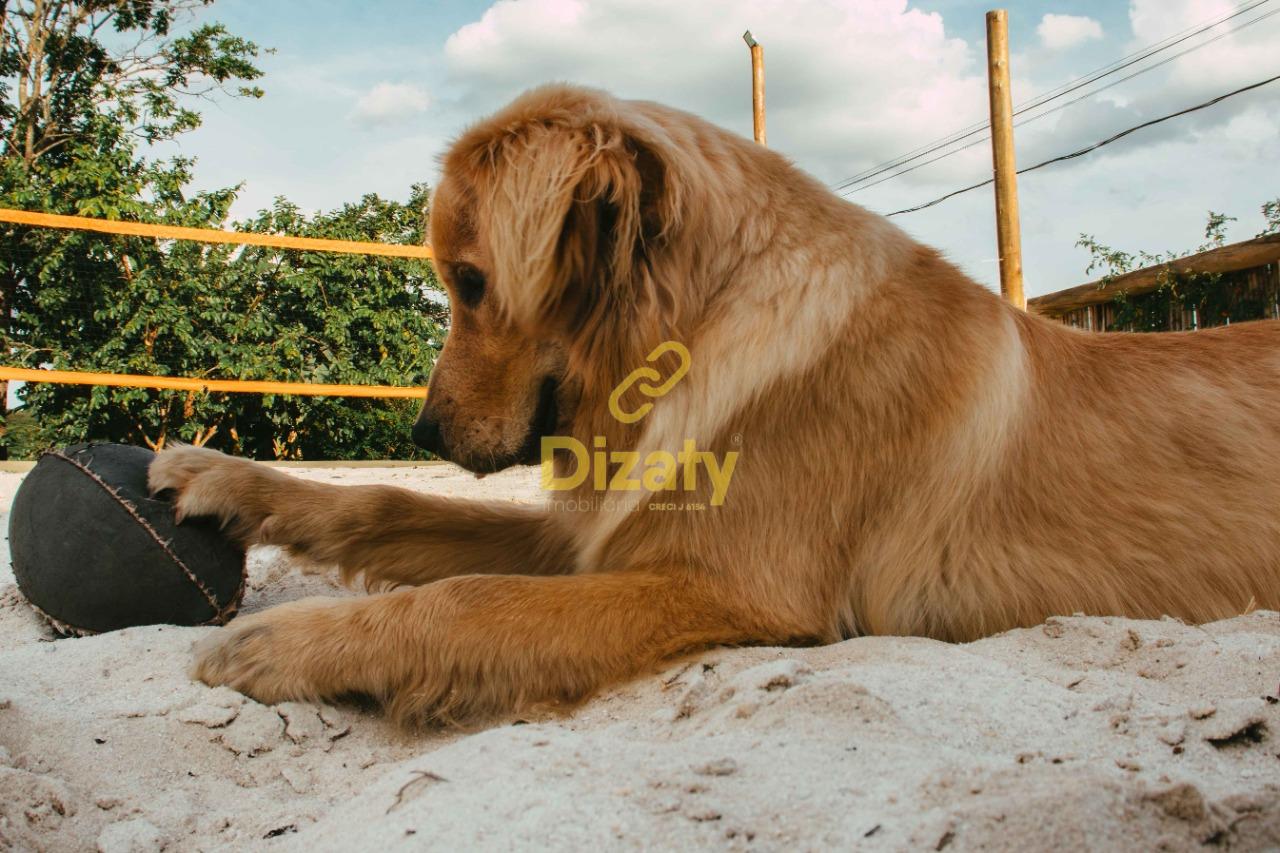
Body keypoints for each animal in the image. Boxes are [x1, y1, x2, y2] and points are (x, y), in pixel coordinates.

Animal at [147, 83, 1280, 722]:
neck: (696, 328)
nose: (422, 429)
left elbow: (469, 598)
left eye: (469, 281)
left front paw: (291, 642)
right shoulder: (599, 535)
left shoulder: (722, 584)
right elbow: (391, 504)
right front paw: (222, 477)